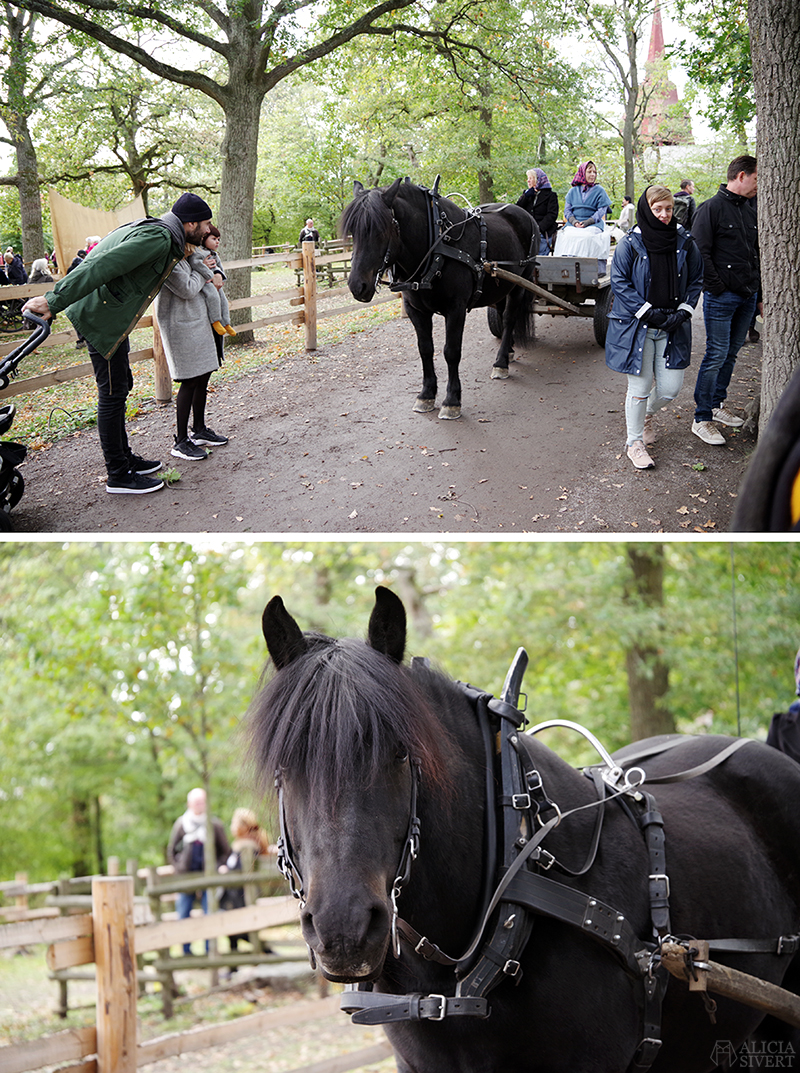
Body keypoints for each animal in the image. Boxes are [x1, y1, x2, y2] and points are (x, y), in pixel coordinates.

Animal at [338, 178, 536, 416]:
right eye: (353, 232)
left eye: (380, 229)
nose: (357, 286)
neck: (436, 246)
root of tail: (524, 213)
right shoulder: (416, 311)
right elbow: (425, 349)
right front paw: (426, 395)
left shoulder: (456, 309)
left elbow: (451, 351)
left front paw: (452, 400)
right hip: (500, 288)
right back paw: (509, 351)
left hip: (519, 285)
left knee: (509, 319)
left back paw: (501, 363)